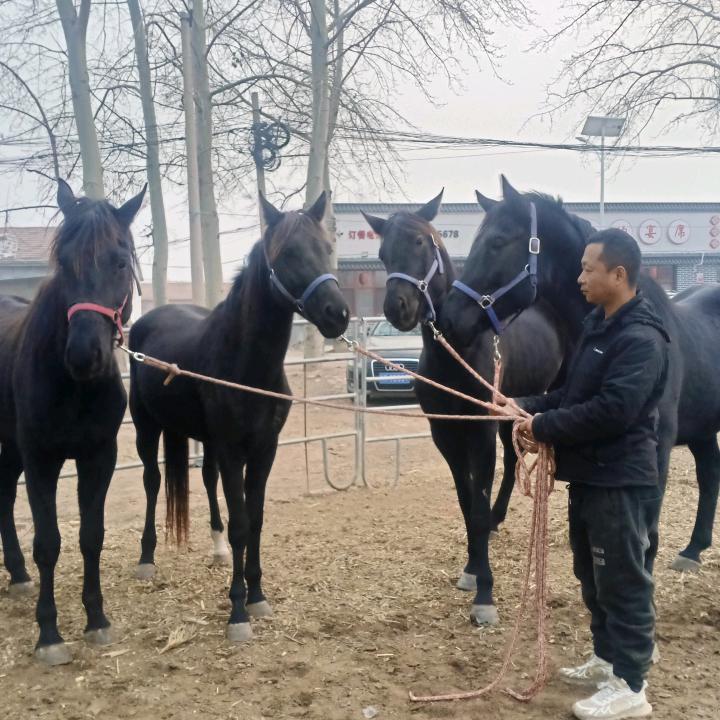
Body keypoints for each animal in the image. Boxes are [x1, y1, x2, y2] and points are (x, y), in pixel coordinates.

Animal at [0, 179, 144, 665]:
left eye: (120, 261)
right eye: (63, 262)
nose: (84, 355)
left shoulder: (99, 457)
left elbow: (91, 536)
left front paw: (96, 618)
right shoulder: (41, 460)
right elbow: (48, 544)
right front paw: (49, 634)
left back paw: (17, 575)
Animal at [128, 191, 350, 642]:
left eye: (326, 248)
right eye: (288, 254)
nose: (338, 314)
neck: (247, 366)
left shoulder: (264, 450)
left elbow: (256, 519)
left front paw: (258, 595)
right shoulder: (234, 452)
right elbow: (241, 524)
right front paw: (237, 611)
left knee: (205, 479)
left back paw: (216, 550)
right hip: (146, 427)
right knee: (153, 482)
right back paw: (146, 559)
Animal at [362, 191, 566, 624]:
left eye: (419, 242)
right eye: (383, 253)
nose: (397, 307)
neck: (457, 352)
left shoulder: (480, 432)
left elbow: (477, 501)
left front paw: (485, 594)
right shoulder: (446, 434)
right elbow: (465, 499)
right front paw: (472, 567)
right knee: (512, 461)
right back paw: (498, 520)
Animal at [442, 175, 720, 573]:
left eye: (496, 242)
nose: (448, 318)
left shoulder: (659, 450)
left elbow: (647, 539)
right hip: (703, 427)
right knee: (710, 474)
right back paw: (693, 550)